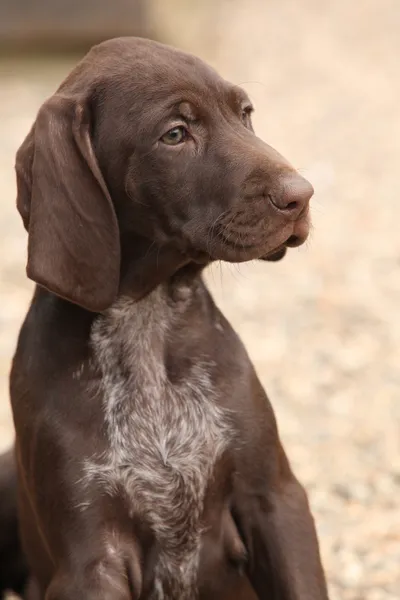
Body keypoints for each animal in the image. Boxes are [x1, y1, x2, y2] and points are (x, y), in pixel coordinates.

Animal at [7, 37, 330, 600]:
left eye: (245, 114)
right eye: (175, 134)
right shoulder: (91, 558)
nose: (301, 195)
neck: (146, 316)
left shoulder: (275, 500)